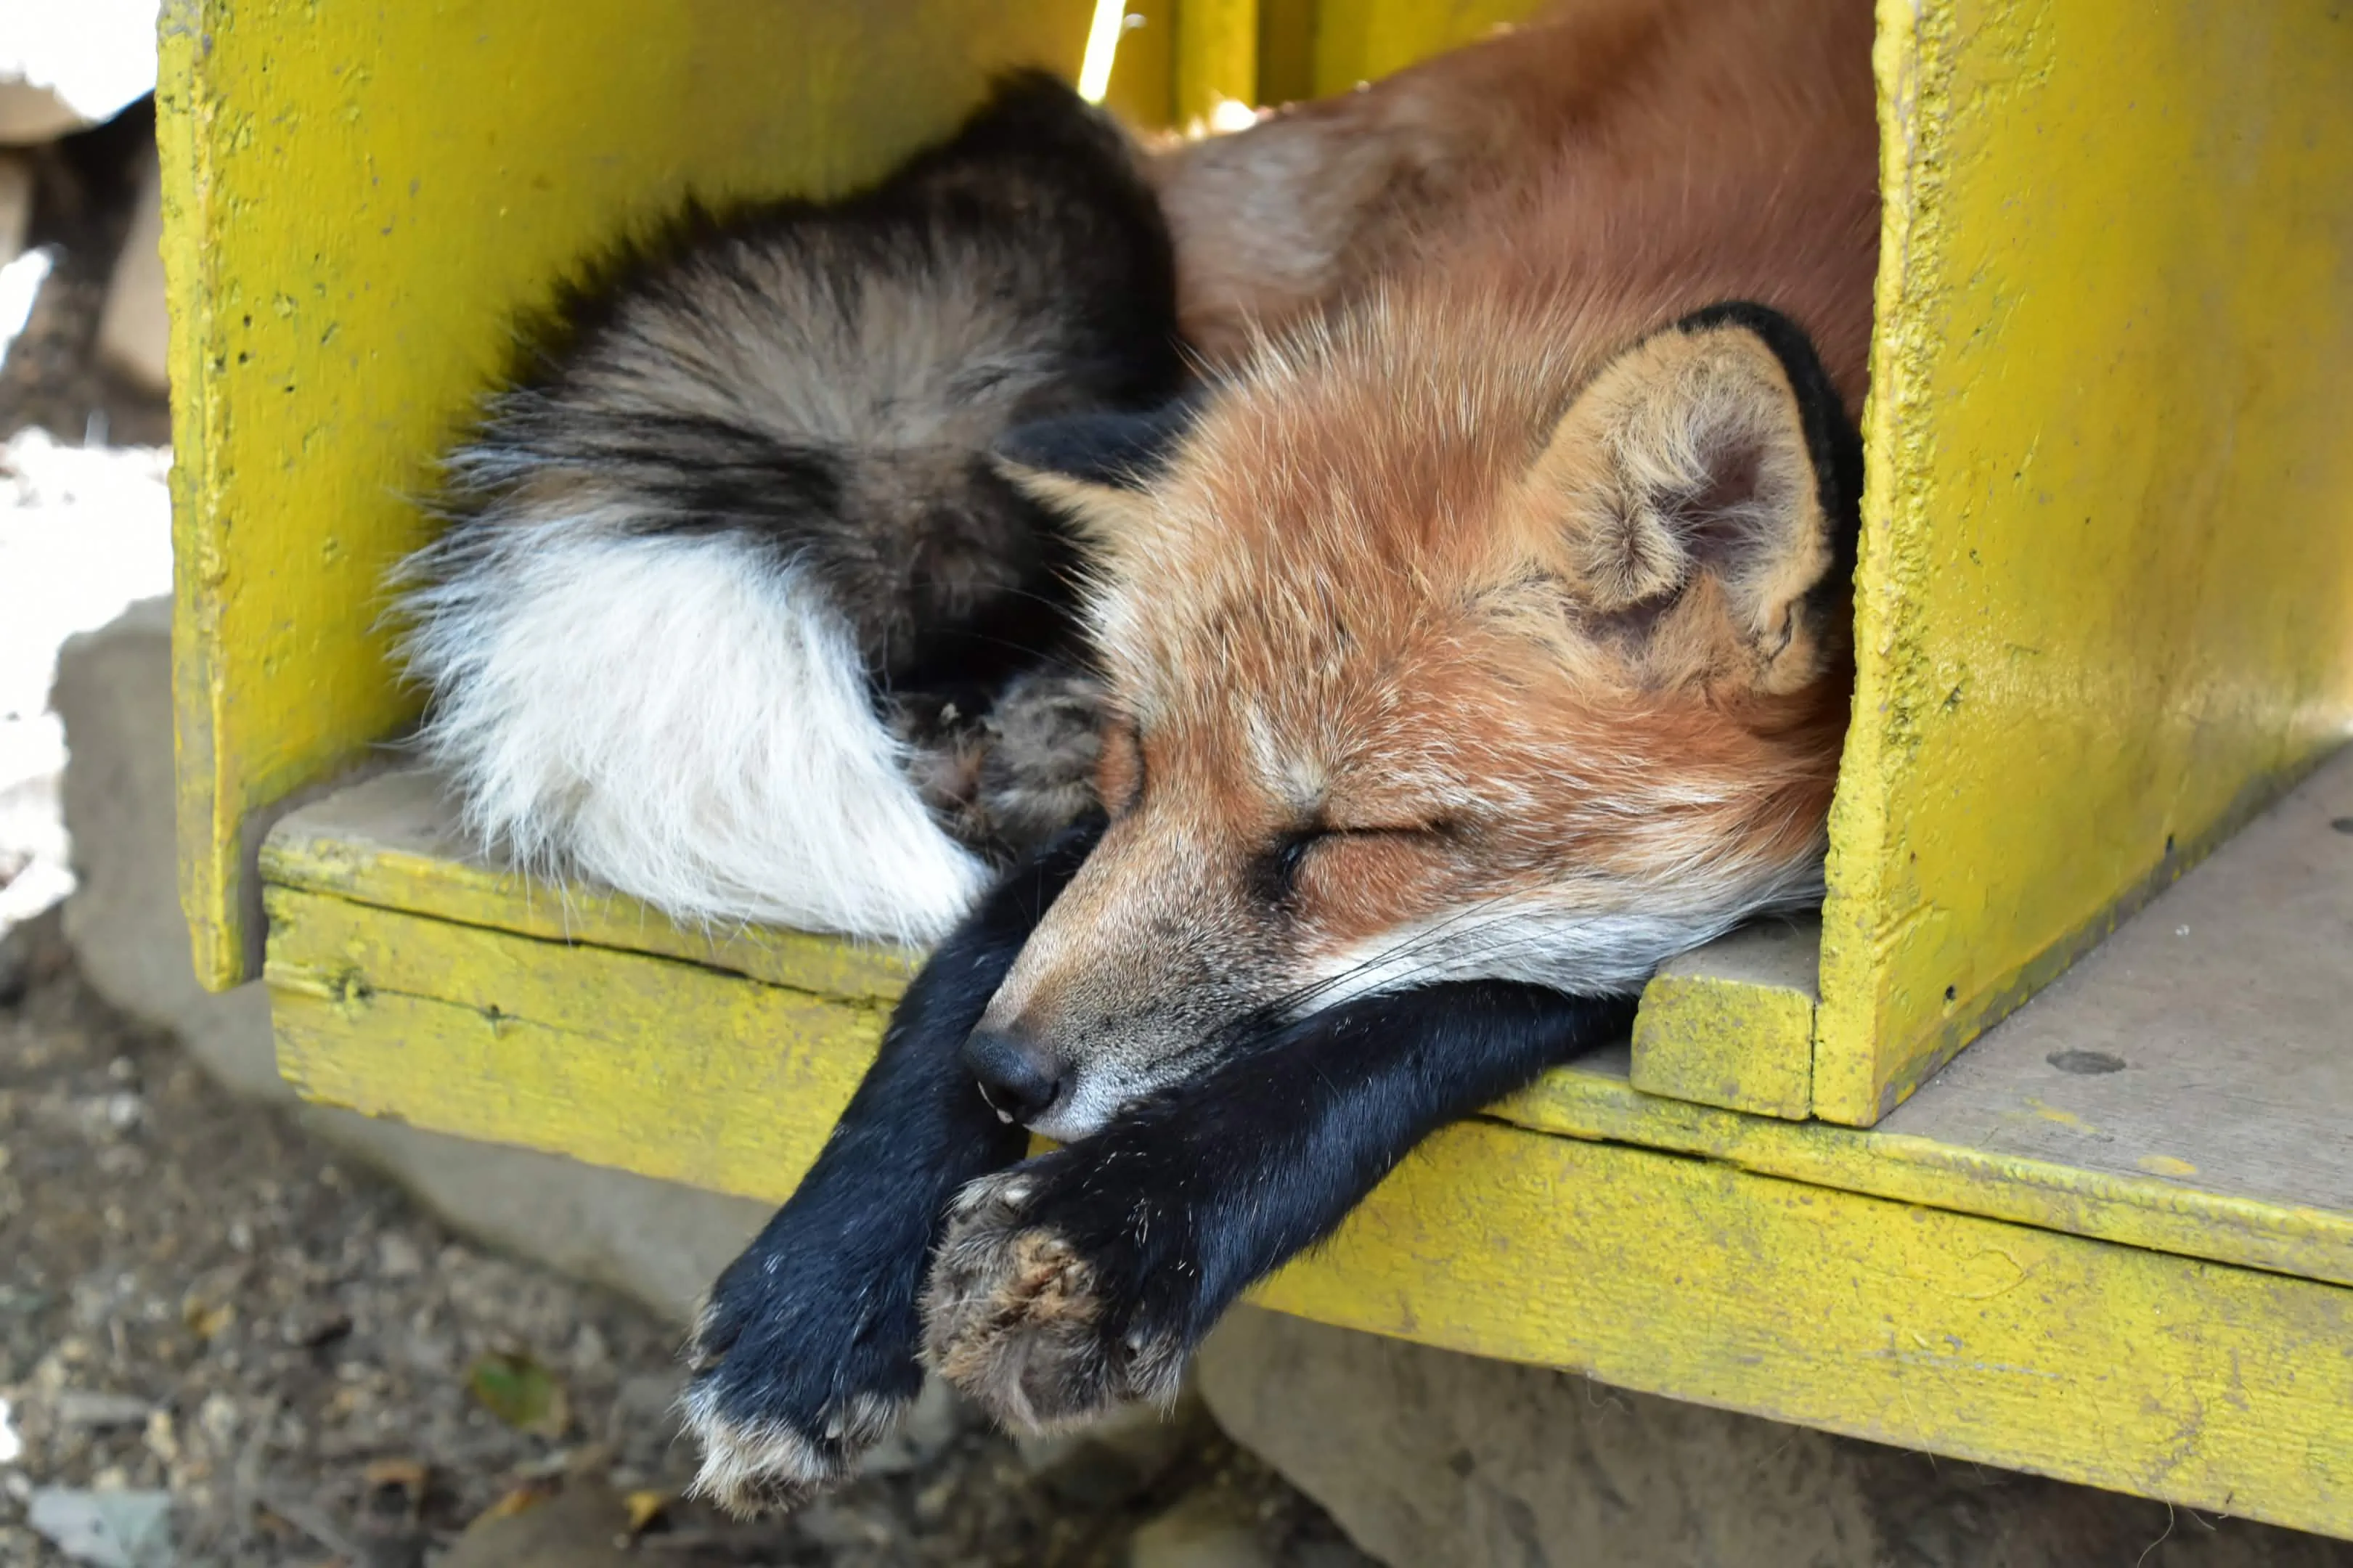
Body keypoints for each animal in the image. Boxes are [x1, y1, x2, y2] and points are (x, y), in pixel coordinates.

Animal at [680, 0, 1879, 1514]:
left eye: (1342, 843)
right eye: (1137, 766)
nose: (1003, 1075)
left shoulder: (1707, 915)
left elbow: (1418, 1016)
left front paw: (1108, 1236)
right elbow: (978, 941)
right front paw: (815, 1301)